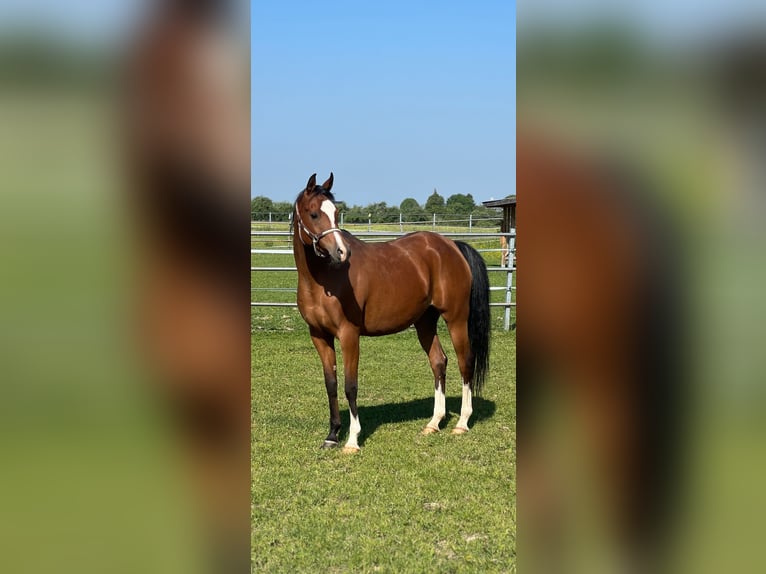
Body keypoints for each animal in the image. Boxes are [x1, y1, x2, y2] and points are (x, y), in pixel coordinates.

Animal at [294, 173, 492, 452]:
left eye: (336, 212)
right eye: (313, 214)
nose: (341, 252)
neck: (324, 279)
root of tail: (451, 245)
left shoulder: (349, 335)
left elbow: (350, 385)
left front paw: (352, 440)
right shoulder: (319, 336)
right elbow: (331, 384)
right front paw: (332, 436)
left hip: (456, 318)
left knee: (466, 362)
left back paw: (462, 423)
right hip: (425, 322)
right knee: (439, 362)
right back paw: (433, 423)